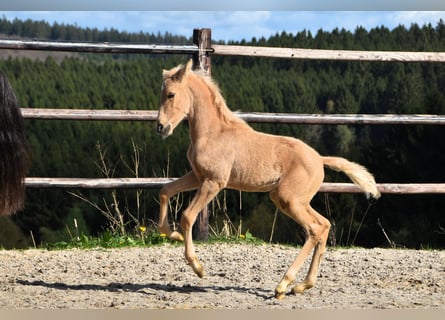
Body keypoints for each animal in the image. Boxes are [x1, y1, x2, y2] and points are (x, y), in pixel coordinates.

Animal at [155, 60, 378, 300]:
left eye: (171, 94)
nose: (160, 127)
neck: (213, 133)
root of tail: (319, 159)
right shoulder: (197, 177)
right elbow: (165, 190)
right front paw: (173, 234)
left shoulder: (214, 182)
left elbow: (187, 216)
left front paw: (198, 267)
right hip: (294, 200)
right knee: (324, 225)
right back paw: (302, 286)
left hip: (288, 199)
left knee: (314, 229)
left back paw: (283, 285)